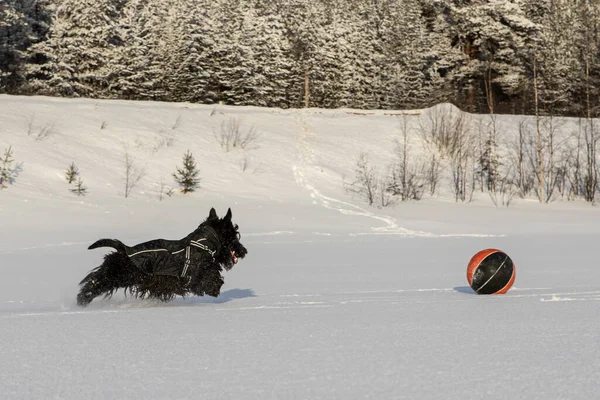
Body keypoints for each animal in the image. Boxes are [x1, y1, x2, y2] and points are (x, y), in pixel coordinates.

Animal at [77, 209, 246, 306]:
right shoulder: (197, 277)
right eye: (234, 236)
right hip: (114, 275)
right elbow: (212, 281)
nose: (244, 251)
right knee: (92, 285)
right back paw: (81, 302)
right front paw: (216, 289)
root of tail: (123, 249)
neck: (203, 243)